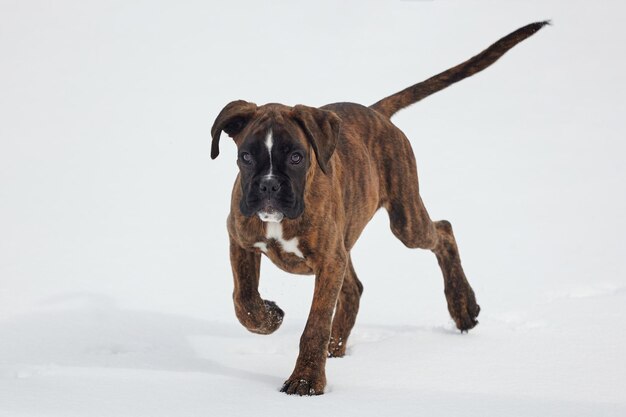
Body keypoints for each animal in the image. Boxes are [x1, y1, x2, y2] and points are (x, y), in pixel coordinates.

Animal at [210, 22, 544, 394]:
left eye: (296, 156)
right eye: (246, 156)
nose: (268, 185)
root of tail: (376, 111)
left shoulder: (329, 261)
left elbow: (315, 324)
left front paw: (306, 380)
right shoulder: (240, 239)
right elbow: (244, 299)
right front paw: (270, 317)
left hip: (405, 222)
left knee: (443, 230)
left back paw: (463, 307)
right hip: (349, 241)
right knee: (354, 289)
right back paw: (337, 348)